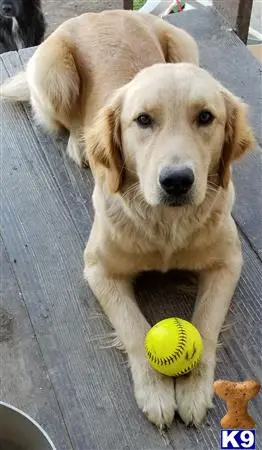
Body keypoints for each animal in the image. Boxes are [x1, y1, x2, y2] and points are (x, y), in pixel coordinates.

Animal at [0, 8, 254, 428]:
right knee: (68, 121)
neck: (166, 224)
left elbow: (205, 324)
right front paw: (156, 391)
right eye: (143, 120)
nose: (177, 181)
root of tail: (101, 11)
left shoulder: (228, 262)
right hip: (55, 74)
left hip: (184, 43)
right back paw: (79, 143)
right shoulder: (99, 269)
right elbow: (135, 328)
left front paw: (193, 390)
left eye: (206, 117)